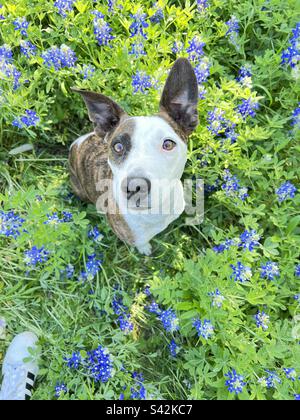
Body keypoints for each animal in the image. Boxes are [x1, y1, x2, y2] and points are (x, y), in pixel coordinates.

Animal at [69, 57, 198, 254]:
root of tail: (74, 145)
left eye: (168, 144)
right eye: (118, 146)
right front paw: (146, 250)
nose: (135, 187)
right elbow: (142, 244)